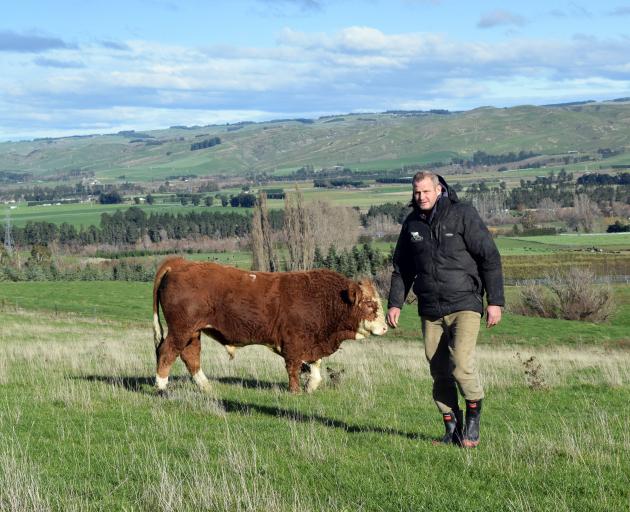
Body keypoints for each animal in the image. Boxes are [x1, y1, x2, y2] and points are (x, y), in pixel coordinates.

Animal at [154, 258, 390, 394]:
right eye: (370, 304)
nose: (386, 327)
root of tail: (180, 263)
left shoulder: (313, 342)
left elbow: (315, 364)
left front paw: (312, 385)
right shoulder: (294, 342)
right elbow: (294, 367)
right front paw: (295, 391)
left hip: (193, 332)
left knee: (190, 356)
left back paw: (206, 386)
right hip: (181, 330)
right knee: (167, 352)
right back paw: (161, 386)